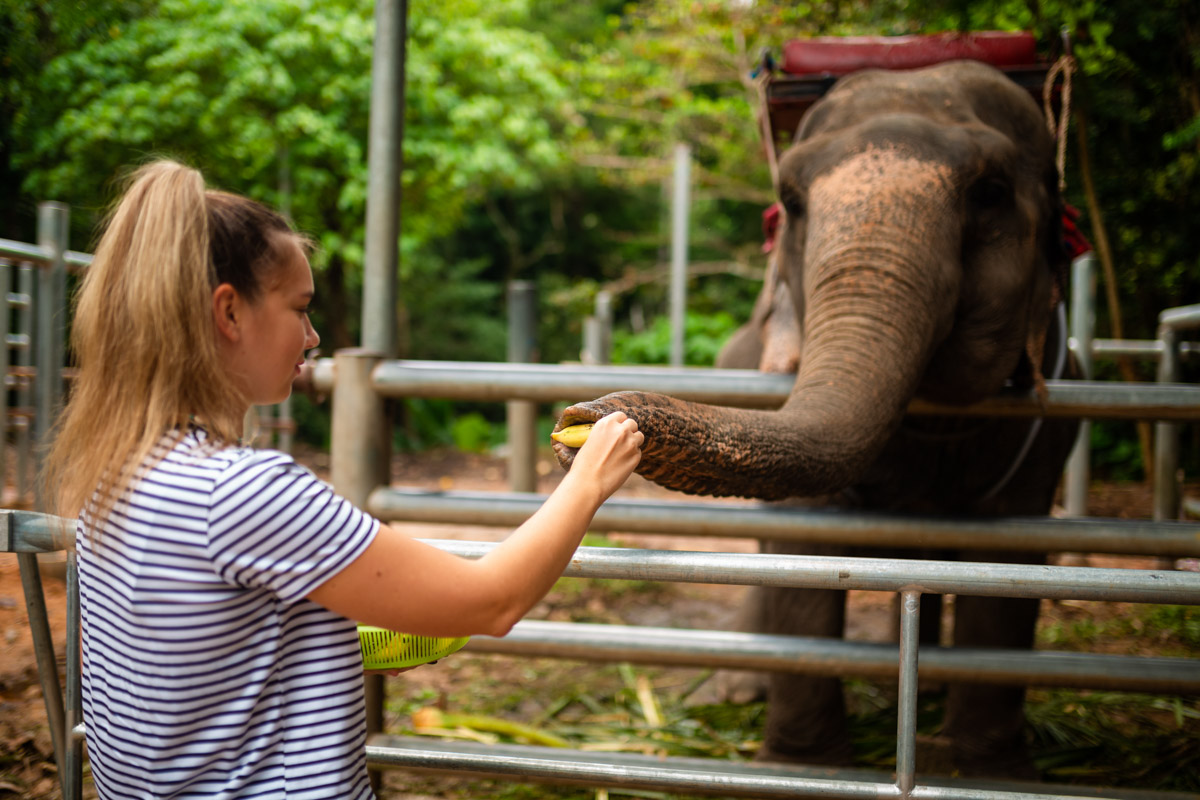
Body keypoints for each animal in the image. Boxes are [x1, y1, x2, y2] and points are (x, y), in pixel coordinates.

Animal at [556, 59, 1084, 777]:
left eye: (992, 192)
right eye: (792, 200)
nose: (581, 415)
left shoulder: (1048, 421)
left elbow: (1008, 566)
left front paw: (988, 772)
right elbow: (800, 546)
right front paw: (806, 768)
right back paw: (740, 689)